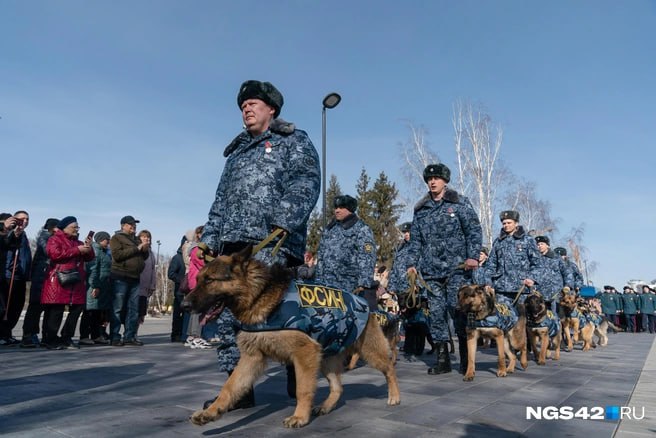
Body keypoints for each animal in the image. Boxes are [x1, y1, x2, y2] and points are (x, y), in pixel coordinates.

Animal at [181, 245, 400, 430]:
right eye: (199, 280)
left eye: (210, 280)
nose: (184, 305)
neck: (259, 295)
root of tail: (362, 301)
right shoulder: (251, 358)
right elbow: (229, 387)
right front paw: (210, 413)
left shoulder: (304, 354)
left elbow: (302, 389)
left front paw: (300, 417)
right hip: (326, 359)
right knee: (338, 387)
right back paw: (326, 406)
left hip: (369, 352)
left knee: (389, 368)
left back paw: (395, 396)